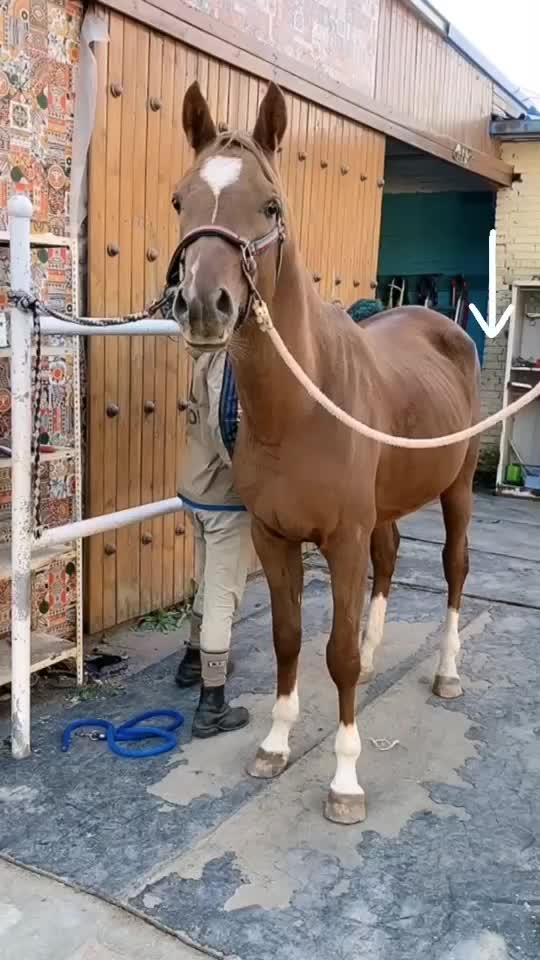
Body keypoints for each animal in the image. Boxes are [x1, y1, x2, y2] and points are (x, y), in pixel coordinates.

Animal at [169, 80, 480, 825]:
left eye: (271, 205)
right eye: (179, 200)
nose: (203, 306)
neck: (300, 409)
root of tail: (443, 324)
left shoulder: (340, 539)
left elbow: (334, 654)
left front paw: (345, 779)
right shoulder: (274, 536)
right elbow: (290, 638)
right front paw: (276, 745)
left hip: (457, 488)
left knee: (454, 570)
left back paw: (447, 672)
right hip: (386, 508)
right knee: (389, 560)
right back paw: (376, 654)